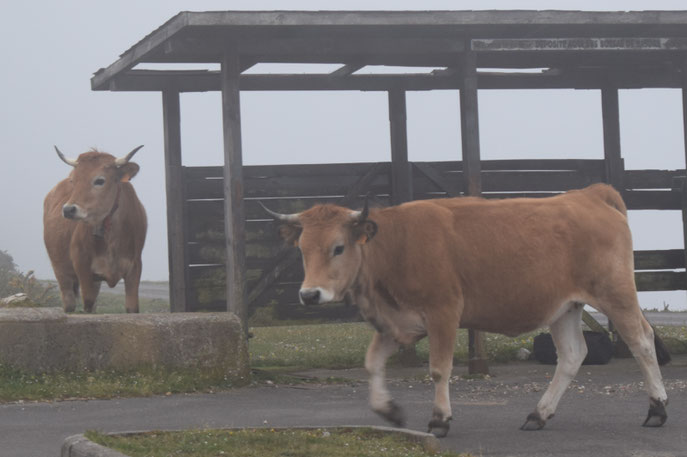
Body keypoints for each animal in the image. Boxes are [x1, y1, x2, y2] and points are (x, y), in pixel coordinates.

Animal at [43, 146, 148, 314]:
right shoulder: (82, 266)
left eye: (100, 180)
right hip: (61, 271)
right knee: (69, 303)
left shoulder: (135, 266)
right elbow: (88, 303)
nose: (68, 209)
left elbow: (132, 308)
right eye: (73, 180)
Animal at [262, 183, 668, 436]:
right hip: (565, 307)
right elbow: (372, 363)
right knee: (572, 355)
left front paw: (439, 419)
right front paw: (389, 409)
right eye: (302, 249)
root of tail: (590, 195)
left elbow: (439, 369)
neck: (394, 245)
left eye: (338, 247)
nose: (310, 294)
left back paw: (657, 409)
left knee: (642, 342)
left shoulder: (443, 313)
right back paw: (538, 414)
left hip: (615, 294)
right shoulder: (398, 323)